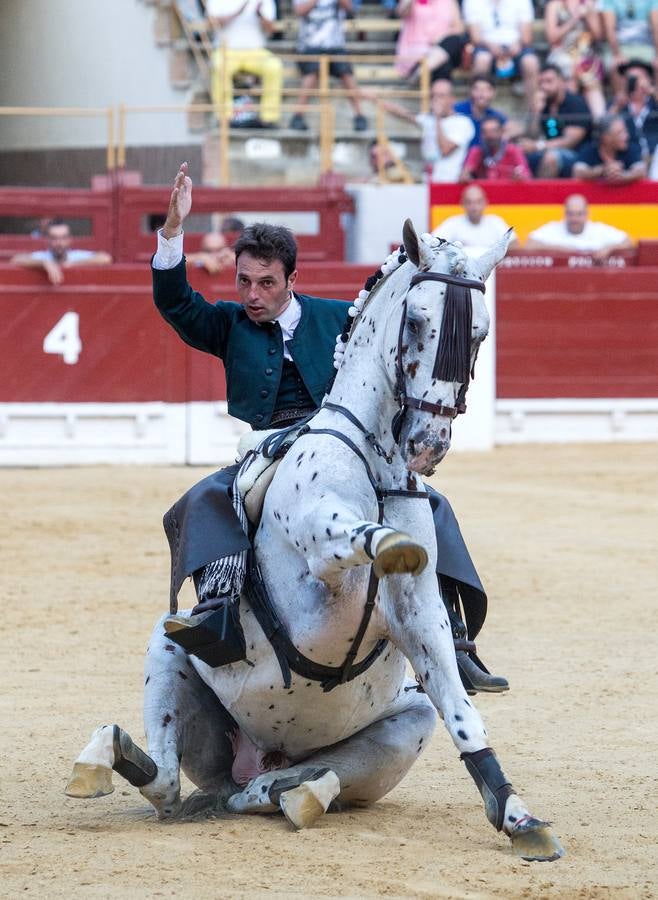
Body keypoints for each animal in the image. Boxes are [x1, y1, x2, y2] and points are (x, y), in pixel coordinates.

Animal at [68, 221, 564, 860]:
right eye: (416, 322)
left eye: (479, 330)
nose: (428, 444)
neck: (376, 461)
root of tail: (260, 759)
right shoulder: (314, 572)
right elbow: (345, 532)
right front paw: (390, 543)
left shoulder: (421, 615)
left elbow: (462, 712)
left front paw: (519, 818)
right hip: (168, 651)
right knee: (167, 782)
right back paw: (104, 757)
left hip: (404, 724)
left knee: (272, 787)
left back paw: (300, 791)